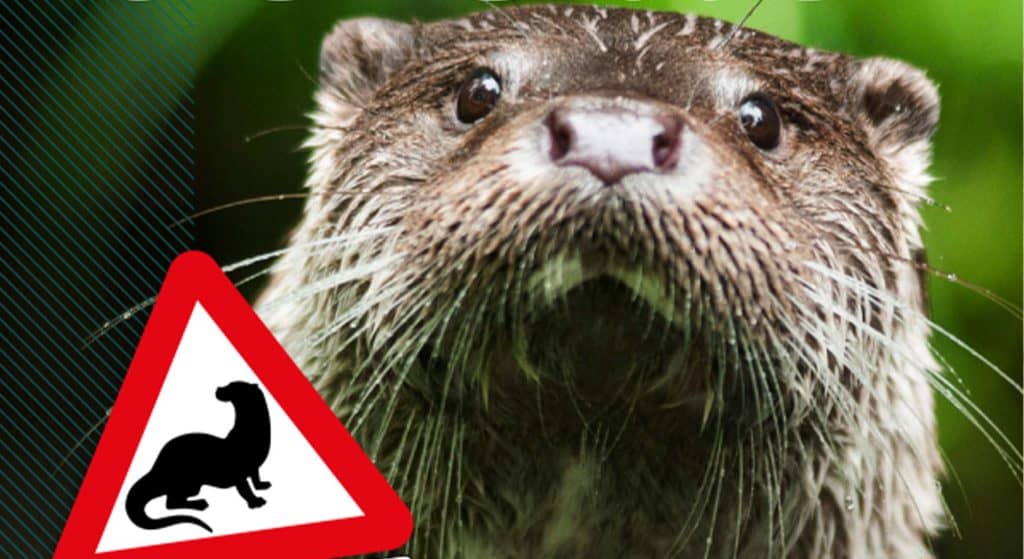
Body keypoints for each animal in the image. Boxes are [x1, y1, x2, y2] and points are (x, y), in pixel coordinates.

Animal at [125, 381, 272, 533]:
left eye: (231, 387)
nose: (218, 388)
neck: (249, 435)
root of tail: (157, 468)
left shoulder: (254, 466)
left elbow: (256, 477)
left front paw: (262, 485)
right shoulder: (238, 472)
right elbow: (245, 490)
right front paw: (255, 501)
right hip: (187, 481)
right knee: (171, 502)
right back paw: (200, 504)